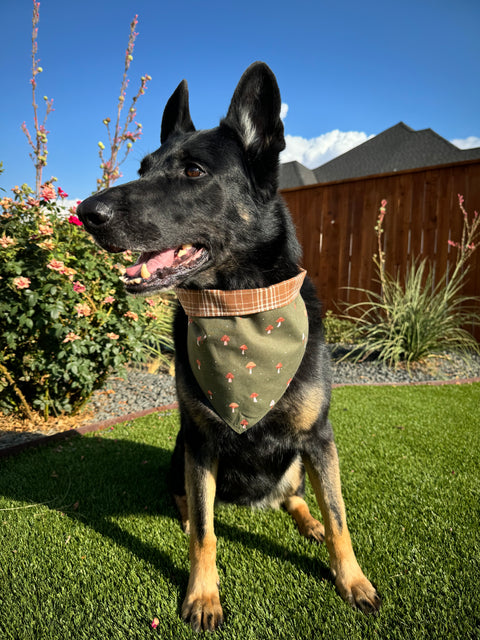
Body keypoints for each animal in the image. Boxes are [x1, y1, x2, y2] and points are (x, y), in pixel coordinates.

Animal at [77, 62, 380, 632]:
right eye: (143, 168)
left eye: (194, 171)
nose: (85, 212)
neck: (239, 308)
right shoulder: (201, 443)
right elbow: (205, 533)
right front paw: (202, 595)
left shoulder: (319, 438)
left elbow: (340, 516)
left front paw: (352, 580)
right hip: (181, 449)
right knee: (193, 502)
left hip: (293, 461)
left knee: (295, 498)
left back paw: (306, 521)